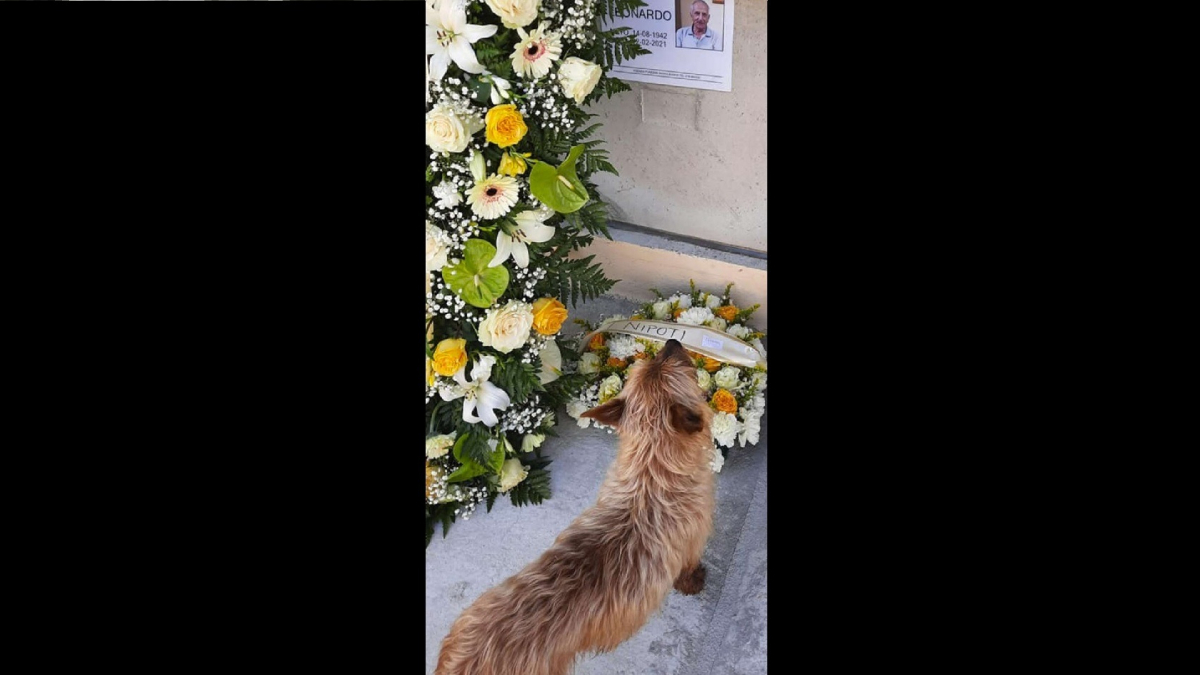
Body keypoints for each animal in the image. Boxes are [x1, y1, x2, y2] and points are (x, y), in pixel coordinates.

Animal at [439, 336, 710, 672]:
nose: (672, 341)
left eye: (652, 361)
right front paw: (694, 582)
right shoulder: (693, 542)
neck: (652, 467)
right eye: (678, 365)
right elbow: (688, 570)